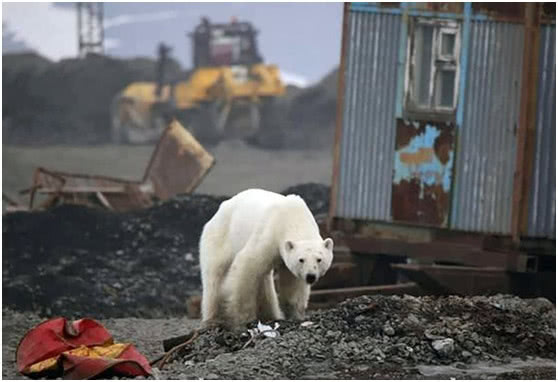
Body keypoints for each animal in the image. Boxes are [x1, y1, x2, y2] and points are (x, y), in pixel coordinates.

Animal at [199, 190, 334, 330]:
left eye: (319, 259)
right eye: (301, 260)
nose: (310, 276)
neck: (293, 217)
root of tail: (219, 210)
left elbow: (292, 282)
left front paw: (295, 315)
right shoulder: (269, 234)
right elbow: (246, 265)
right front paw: (244, 319)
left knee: (264, 280)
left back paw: (271, 315)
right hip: (220, 236)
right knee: (214, 276)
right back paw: (212, 319)